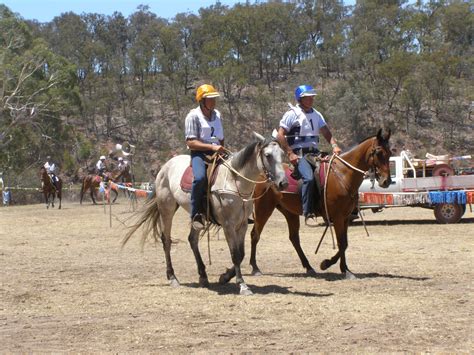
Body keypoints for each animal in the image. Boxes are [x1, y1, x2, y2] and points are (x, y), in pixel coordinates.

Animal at [122, 134, 286, 294]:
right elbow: (235, 254)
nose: (283, 183)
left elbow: (241, 253)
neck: (234, 181)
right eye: (268, 155)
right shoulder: (228, 225)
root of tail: (165, 167)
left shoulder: (242, 224)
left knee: (192, 239)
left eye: (282, 154)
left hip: (196, 217)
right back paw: (172, 277)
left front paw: (225, 276)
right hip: (166, 208)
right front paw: (242, 285)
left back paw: (203, 276)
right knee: (166, 240)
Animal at [248, 129, 392, 280]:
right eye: (378, 152)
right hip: (263, 209)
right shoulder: (338, 217)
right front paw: (333, 266)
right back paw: (255, 268)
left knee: (294, 238)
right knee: (254, 234)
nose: (386, 181)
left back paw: (309, 267)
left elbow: (345, 243)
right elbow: (341, 243)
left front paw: (340, 267)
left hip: (289, 212)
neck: (343, 174)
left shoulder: (346, 217)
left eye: (390, 153)